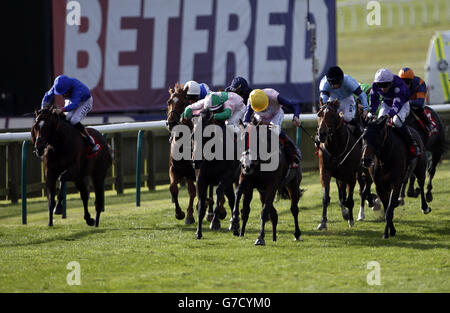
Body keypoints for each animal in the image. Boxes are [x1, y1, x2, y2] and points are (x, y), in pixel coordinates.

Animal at [314, 99, 378, 229]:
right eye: (319, 114)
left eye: (332, 116)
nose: (321, 134)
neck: (336, 148)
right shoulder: (326, 171)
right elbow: (327, 197)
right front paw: (323, 222)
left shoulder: (350, 175)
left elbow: (350, 199)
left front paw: (351, 219)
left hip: (365, 169)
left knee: (365, 187)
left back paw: (366, 206)